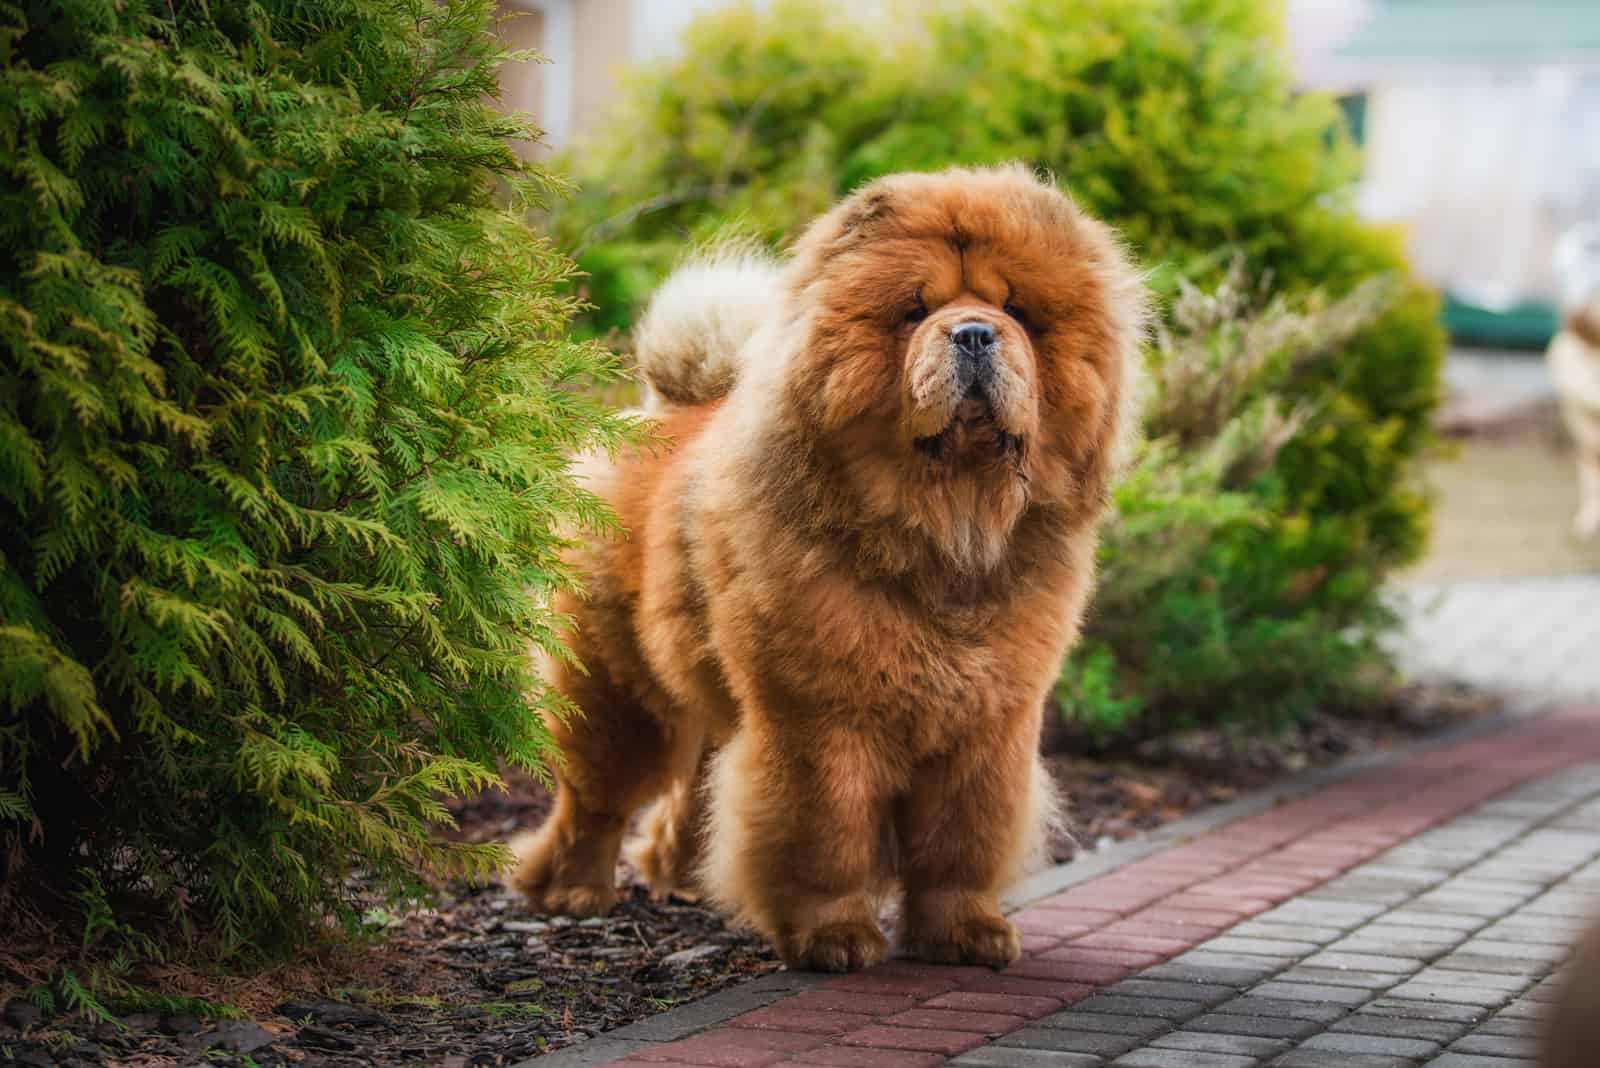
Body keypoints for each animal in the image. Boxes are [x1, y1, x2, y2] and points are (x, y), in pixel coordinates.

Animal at [505, 164, 1145, 965]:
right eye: (915, 310)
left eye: (1017, 311)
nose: (973, 332)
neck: (947, 533)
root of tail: (662, 407)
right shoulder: (820, 719)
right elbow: (826, 833)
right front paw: (833, 937)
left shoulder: (990, 725)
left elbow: (963, 839)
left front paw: (966, 934)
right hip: (613, 689)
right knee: (596, 796)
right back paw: (573, 892)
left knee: (696, 789)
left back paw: (684, 880)